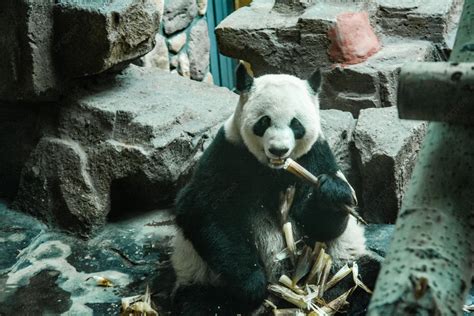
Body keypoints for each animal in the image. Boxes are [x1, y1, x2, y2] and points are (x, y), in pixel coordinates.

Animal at [170, 65, 378, 316]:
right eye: (264, 122)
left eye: (296, 124)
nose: (279, 149)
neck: (273, 170)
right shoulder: (228, 153)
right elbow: (203, 209)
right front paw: (253, 284)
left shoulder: (315, 155)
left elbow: (322, 228)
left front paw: (331, 194)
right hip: (204, 279)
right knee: (199, 304)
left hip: (337, 270)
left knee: (363, 276)